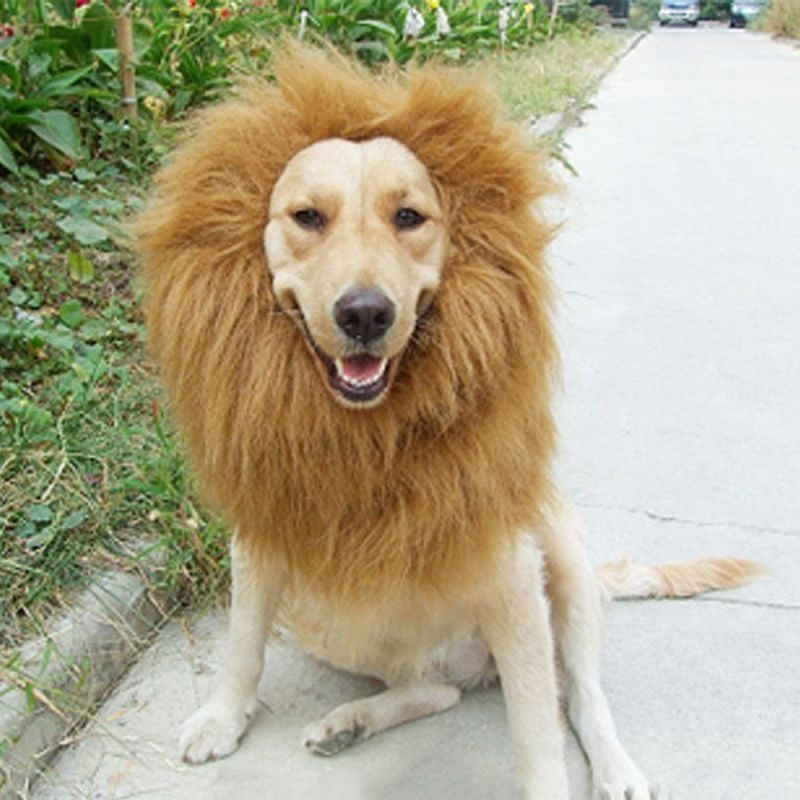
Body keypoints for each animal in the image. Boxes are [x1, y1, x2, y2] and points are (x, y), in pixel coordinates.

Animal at [136, 45, 764, 800]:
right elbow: (241, 641)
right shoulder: (265, 523)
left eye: (409, 216)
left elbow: (539, 737)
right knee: (435, 691)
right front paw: (223, 717)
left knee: (581, 698)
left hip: (562, 559)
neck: (370, 434)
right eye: (307, 216)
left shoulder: (510, 574)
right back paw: (351, 722)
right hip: (329, 618)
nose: (365, 313)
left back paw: (616, 769)